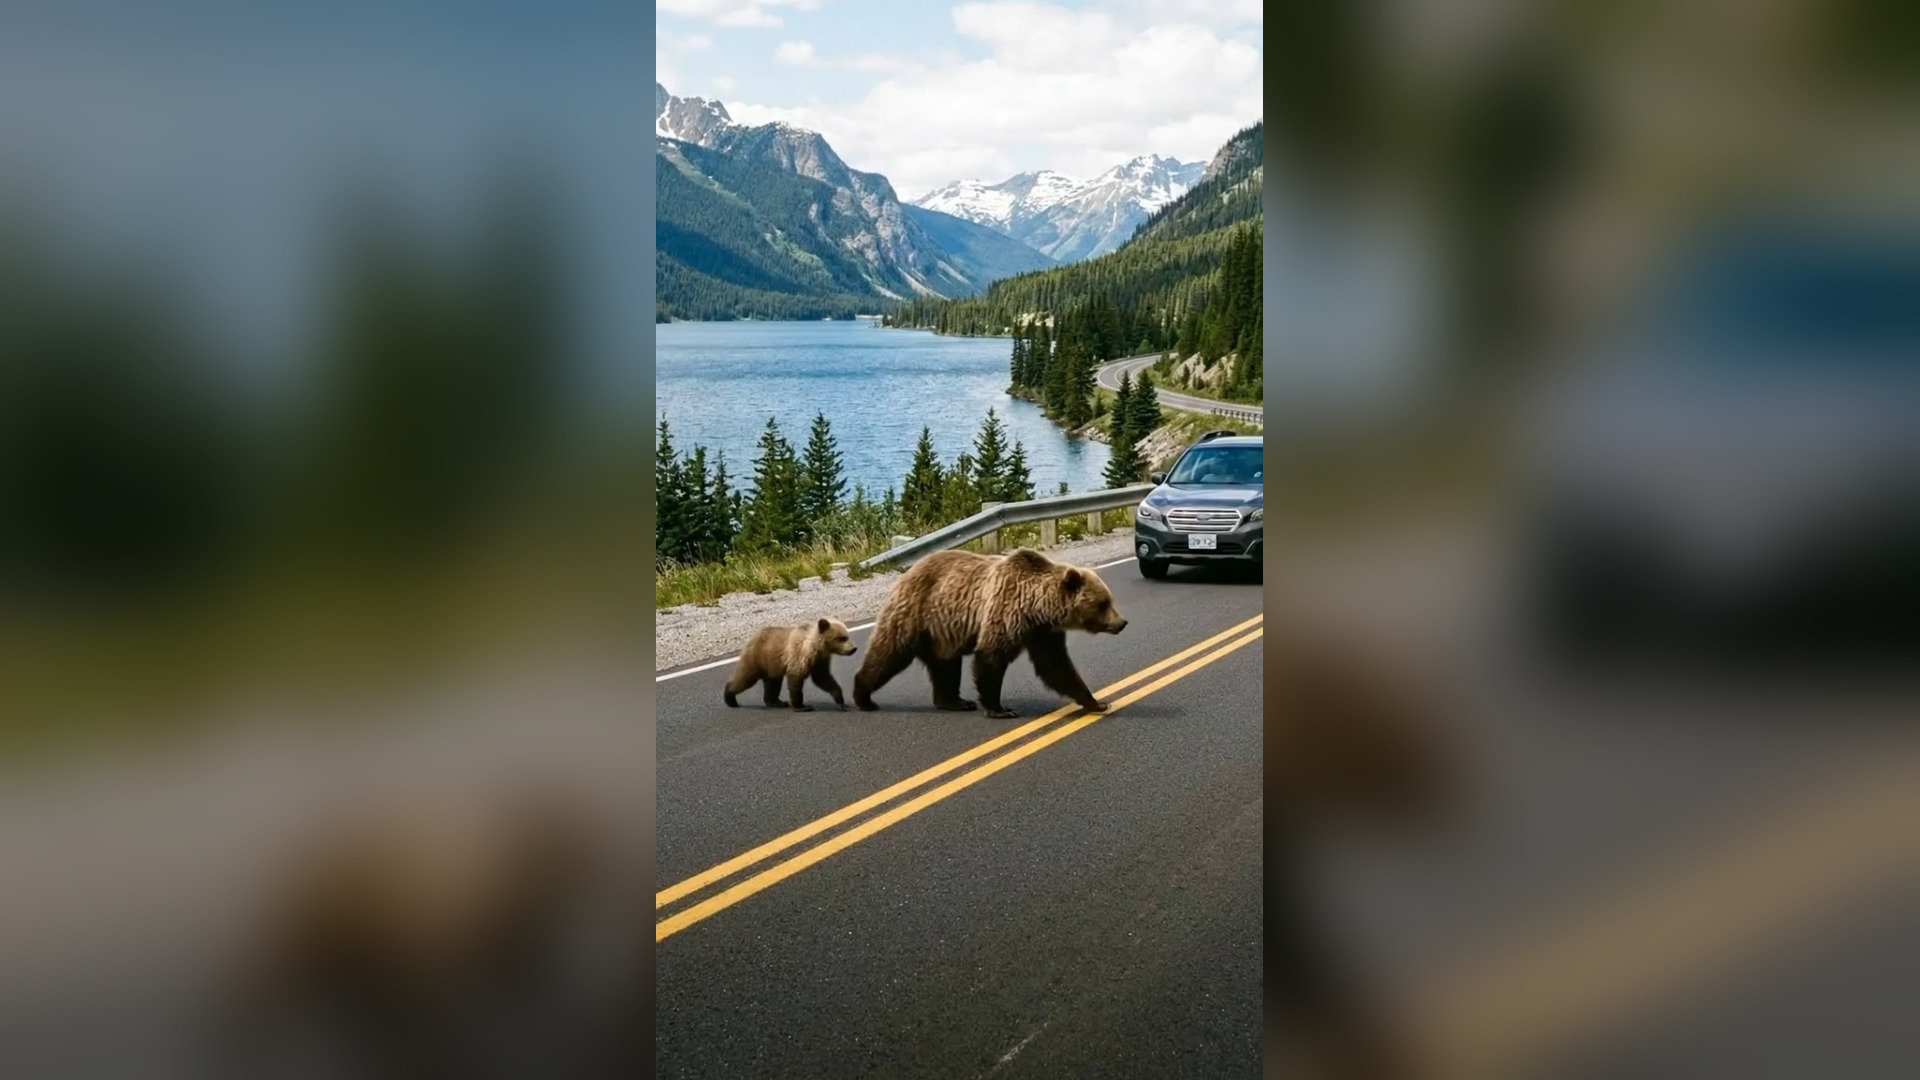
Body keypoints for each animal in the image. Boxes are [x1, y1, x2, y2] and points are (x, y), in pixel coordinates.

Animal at [723, 617, 859, 711]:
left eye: (847, 636)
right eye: (841, 638)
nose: (853, 649)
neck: (817, 648)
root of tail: (753, 636)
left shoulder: (820, 661)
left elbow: (824, 678)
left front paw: (842, 702)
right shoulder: (799, 656)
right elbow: (796, 679)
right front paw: (802, 706)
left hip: (772, 666)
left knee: (773, 683)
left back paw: (776, 702)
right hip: (757, 658)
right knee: (745, 678)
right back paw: (730, 698)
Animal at [853, 547, 1128, 718]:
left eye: (1109, 600)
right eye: (1103, 604)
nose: (1122, 622)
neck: (1037, 608)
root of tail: (905, 574)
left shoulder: (1043, 632)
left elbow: (1055, 666)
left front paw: (1096, 702)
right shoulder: (1006, 610)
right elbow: (991, 658)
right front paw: (1001, 709)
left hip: (942, 631)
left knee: (945, 666)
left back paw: (955, 702)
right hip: (916, 613)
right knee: (888, 653)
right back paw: (863, 697)